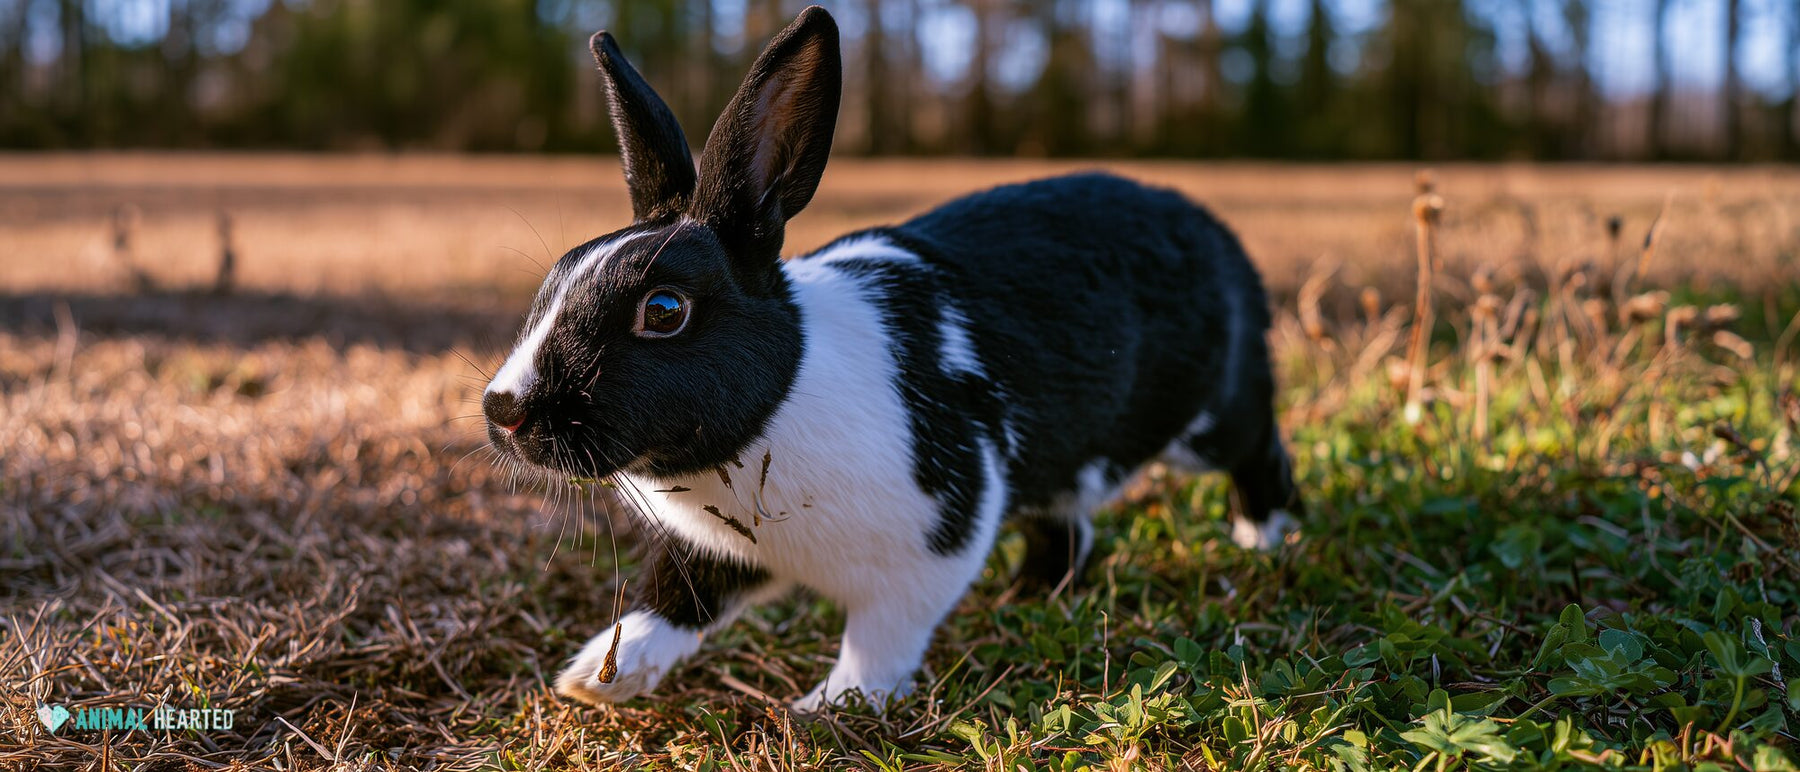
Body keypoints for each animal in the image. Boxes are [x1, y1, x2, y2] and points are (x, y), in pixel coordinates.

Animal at [480, 5, 1302, 713]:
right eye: (557, 273)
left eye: (663, 311)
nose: (503, 410)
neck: (776, 409)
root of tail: (1216, 235)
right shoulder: (719, 553)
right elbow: (671, 602)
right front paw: (596, 679)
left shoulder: (937, 538)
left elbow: (881, 638)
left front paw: (829, 706)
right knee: (1067, 526)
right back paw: (1030, 594)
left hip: (1209, 420)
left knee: (1259, 447)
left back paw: (1264, 539)